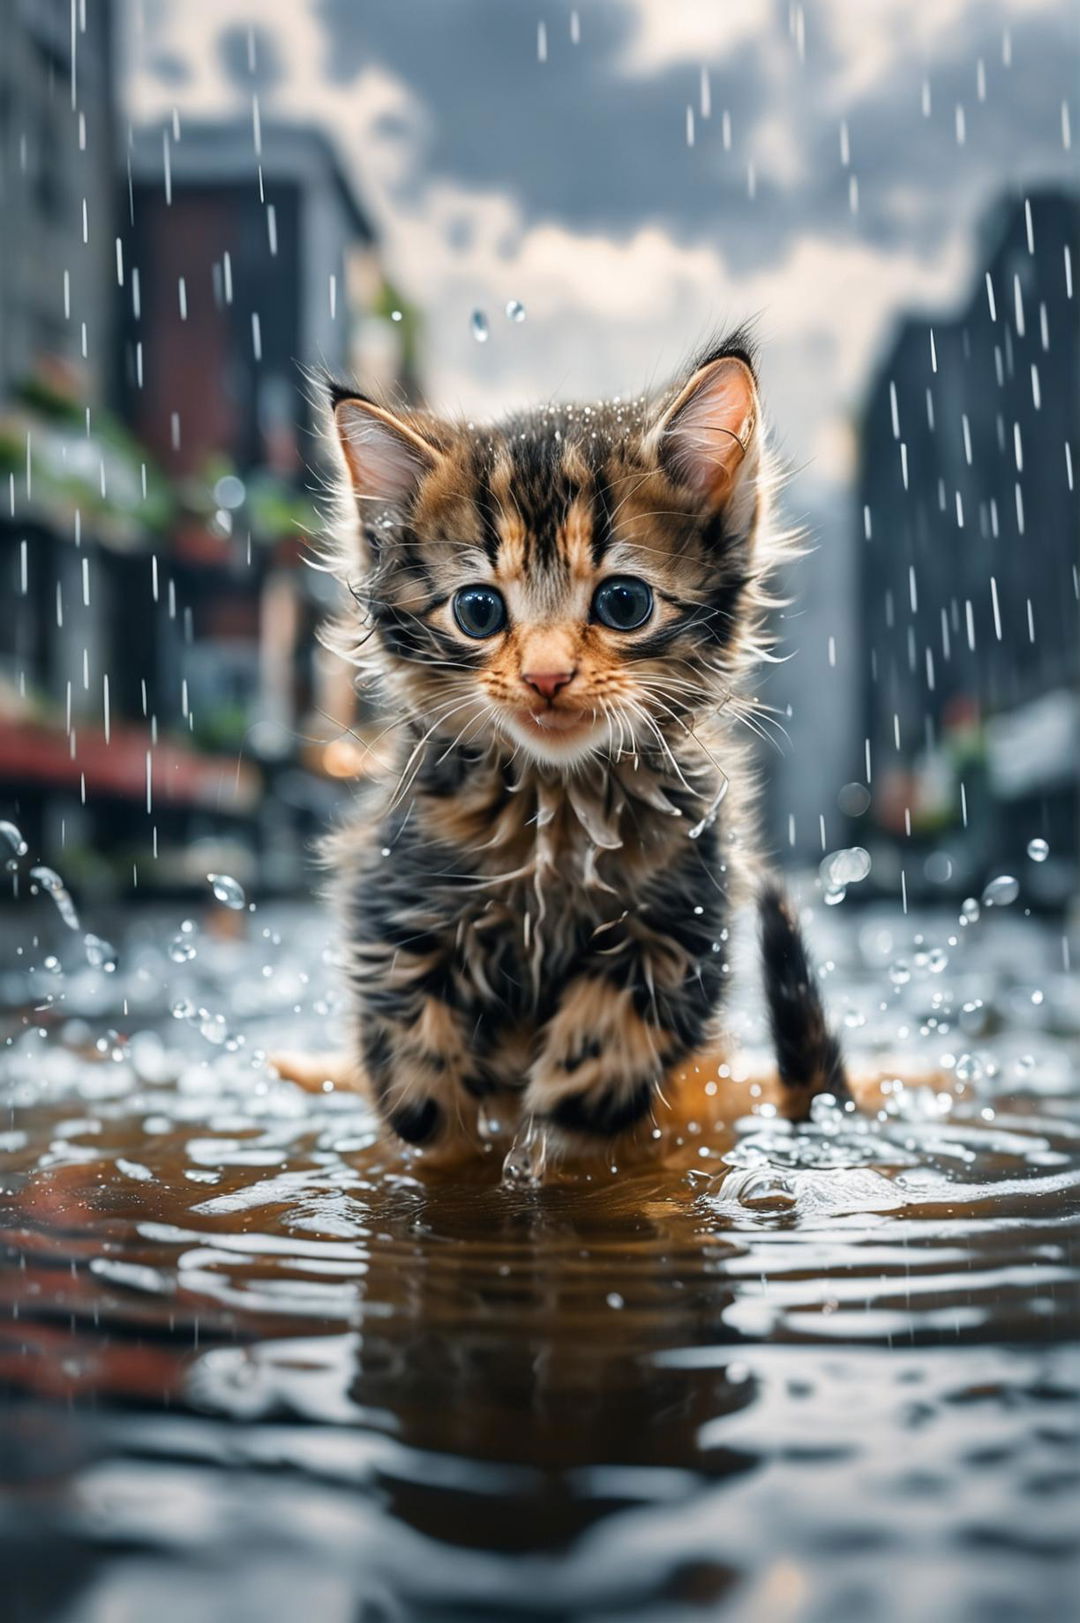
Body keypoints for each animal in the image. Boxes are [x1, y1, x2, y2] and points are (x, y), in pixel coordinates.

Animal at [319, 332, 844, 1155]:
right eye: (478, 610)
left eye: (623, 602)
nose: (546, 676)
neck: (554, 807)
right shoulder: (392, 885)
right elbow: (405, 1017)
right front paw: (435, 1103)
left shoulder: (689, 909)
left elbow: (631, 1010)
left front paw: (570, 1092)